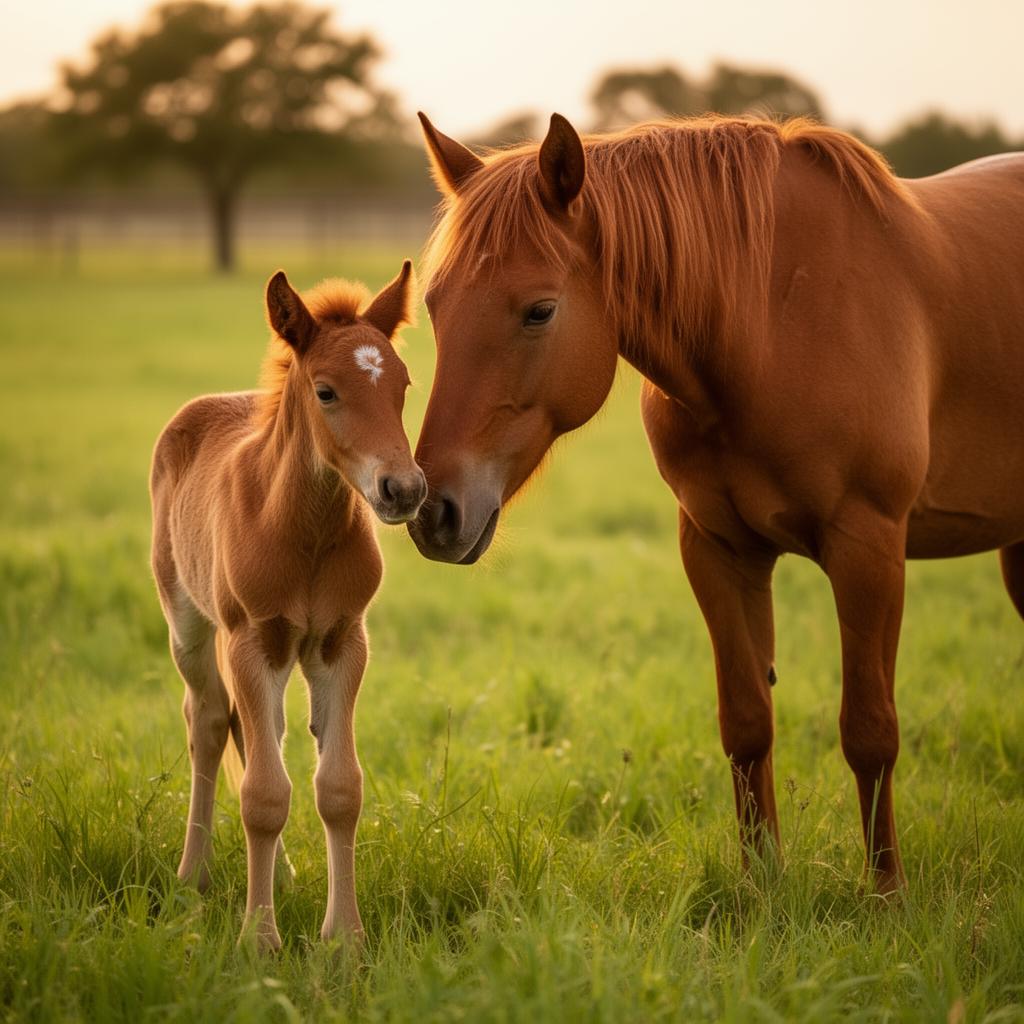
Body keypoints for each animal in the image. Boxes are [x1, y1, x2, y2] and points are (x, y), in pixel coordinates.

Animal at [150, 263, 425, 949]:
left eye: (403, 384)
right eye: (326, 391)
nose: (404, 489)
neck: (303, 531)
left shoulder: (342, 641)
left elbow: (339, 787)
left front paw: (345, 938)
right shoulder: (251, 638)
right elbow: (264, 796)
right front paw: (258, 939)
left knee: (256, 733)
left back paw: (285, 876)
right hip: (190, 624)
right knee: (209, 720)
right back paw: (192, 877)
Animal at [407, 111, 1024, 893]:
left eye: (540, 311)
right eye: (434, 304)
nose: (435, 512)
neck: (773, 321)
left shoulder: (869, 548)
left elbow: (870, 731)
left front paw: (887, 895)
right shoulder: (718, 548)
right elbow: (747, 724)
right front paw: (763, 889)